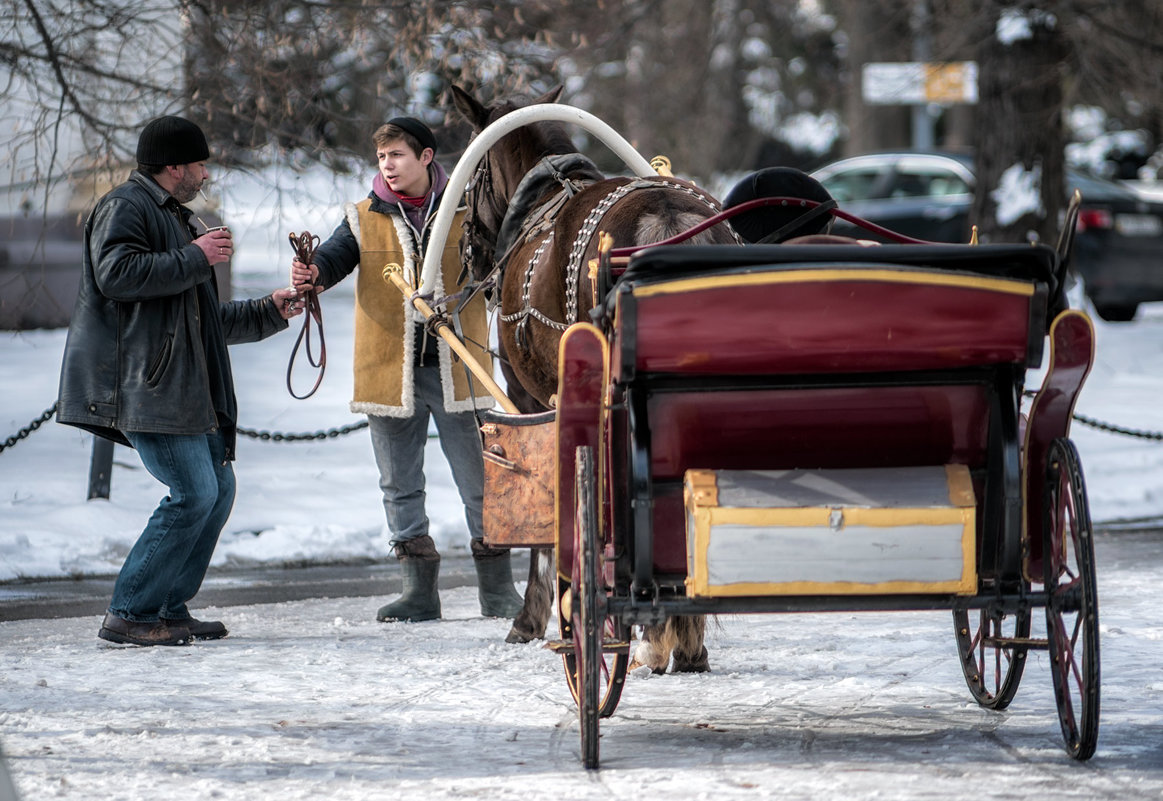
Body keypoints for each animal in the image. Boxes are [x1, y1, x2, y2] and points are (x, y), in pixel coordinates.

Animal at [446, 84, 735, 669]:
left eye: (472, 173)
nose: (469, 250)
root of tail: (665, 216)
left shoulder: (529, 397)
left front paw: (533, 616)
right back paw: (684, 637)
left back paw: (651, 633)